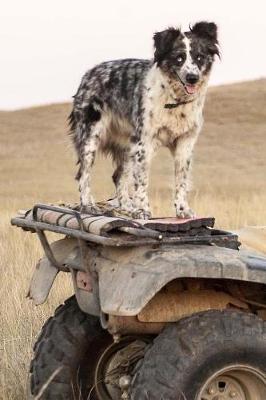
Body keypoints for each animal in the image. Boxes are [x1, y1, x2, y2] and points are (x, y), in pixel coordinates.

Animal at [69, 21, 219, 219]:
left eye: (199, 57)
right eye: (178, 58)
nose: (192, 78)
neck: (175, 101)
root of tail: (89, 74)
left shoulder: (185, 142)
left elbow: (181, 180)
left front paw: (182, 209)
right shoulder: (144, 142)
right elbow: (142, 180)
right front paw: (142, 210)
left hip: (127, 145)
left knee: (118, 176)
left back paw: (126, 208)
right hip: (91, 137)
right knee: (83, 174)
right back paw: (88, 205)